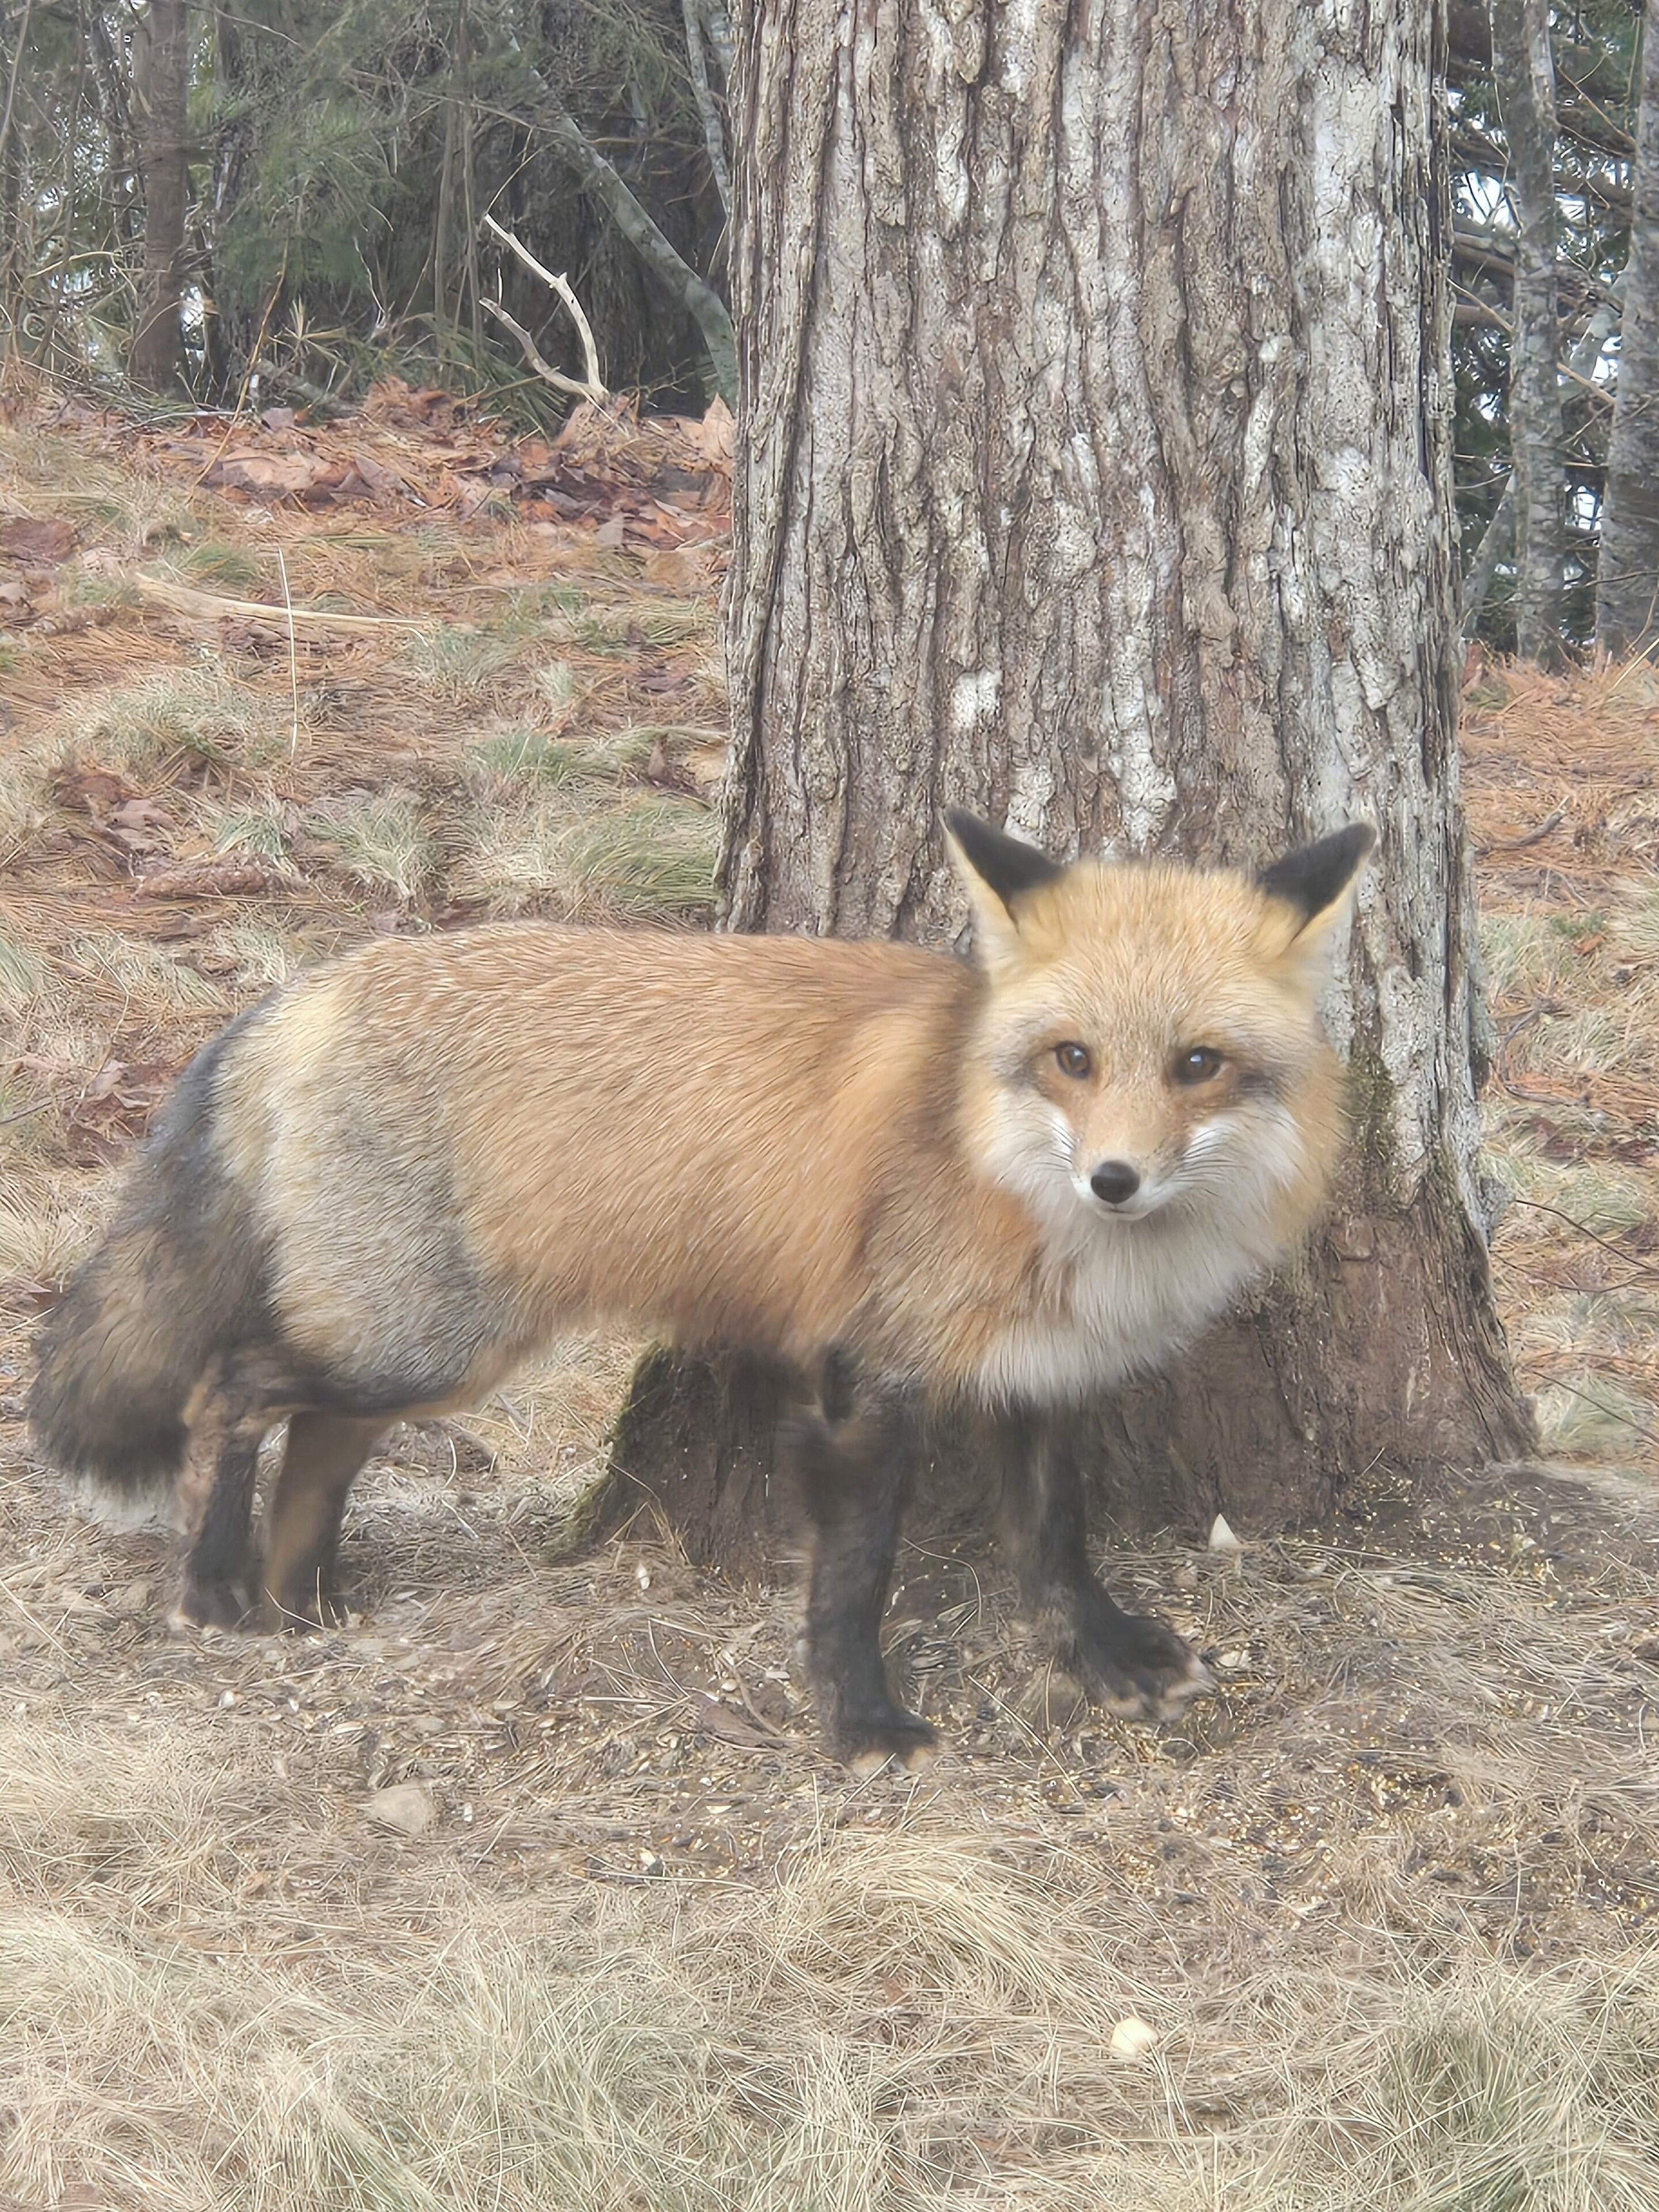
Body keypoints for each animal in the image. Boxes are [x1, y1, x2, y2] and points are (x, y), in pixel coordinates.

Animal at [29, 809, 1372, 1768]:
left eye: (1199, 1065)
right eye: (1073, 1060)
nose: (1114, 1179)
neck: (985, 1155)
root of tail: (309, 988)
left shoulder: (1034, 1374)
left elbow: (1057, 1538)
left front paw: (1101, 1655)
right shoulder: (862, 1374)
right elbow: (857, 1571)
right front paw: (861, 1723)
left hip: (425, 1352)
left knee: (314, 1439)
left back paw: (303, 1603)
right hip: (426, 1342)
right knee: (231, 1389)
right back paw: (215, 1587)